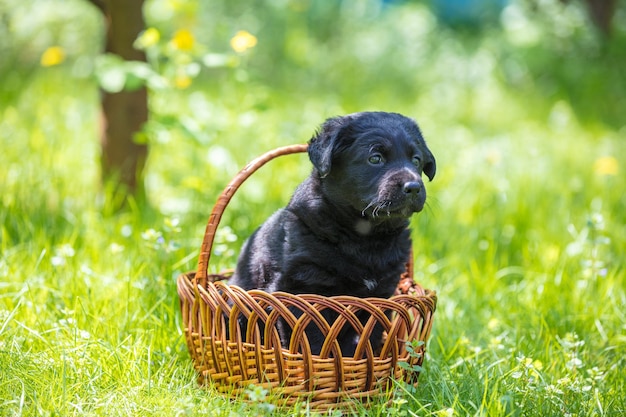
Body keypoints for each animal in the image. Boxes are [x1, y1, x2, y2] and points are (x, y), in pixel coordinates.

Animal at [227, 112, 436, 356]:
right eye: (375, 158)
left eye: (416, 160)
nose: (413, 187)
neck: (364, 237)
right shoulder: (299, 287)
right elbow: (311, 340)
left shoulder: (381, 294)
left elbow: (365, 337)